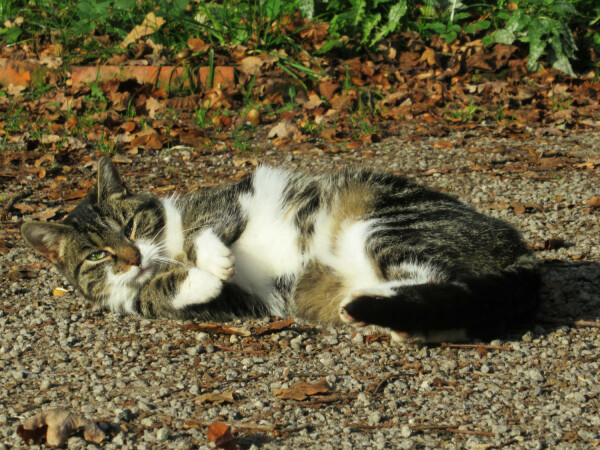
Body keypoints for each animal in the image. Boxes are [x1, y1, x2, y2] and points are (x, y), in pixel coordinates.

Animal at [22, 157, 540, 342]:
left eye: (129, 225)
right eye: (96, 256)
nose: (132, 257)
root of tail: (517, 246)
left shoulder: (223, 202)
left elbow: (202, 231)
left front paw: (213, 257)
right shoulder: (222, 304)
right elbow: (160, 293)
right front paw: (198, 276)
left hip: (383, 225)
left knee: (442, 286)